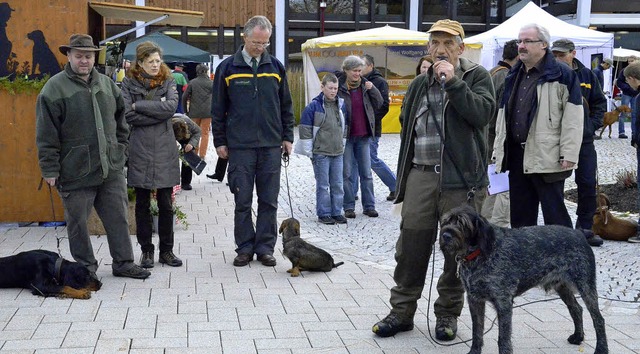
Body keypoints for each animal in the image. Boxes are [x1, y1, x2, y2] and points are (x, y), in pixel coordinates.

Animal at [438, 205, 608, 354]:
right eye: (446, 221)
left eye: (462, 223)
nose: (445, 235)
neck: (478, 254)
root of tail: (579, 234)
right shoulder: (475, 300)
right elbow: (477, 332)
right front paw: (474, 351)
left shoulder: (503, 302)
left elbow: (503, 338)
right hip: (562, 286)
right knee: (576, 308)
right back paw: (578, 336)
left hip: (586, 286)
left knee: (598, 319)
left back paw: (601, 349)